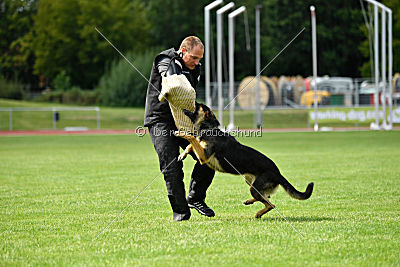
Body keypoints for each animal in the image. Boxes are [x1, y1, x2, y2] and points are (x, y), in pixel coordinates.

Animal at [173, 103, 314, 219]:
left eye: (198, 106)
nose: (194, 99)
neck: (209, 129)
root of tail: (278, 173)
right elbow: (191, 143)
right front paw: (183, 154)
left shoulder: (203, 156)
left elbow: (191, 137)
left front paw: (179, 133)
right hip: (249, 181)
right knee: (267, 198)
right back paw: (249, 202)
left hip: (254, 187)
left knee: (271, 204)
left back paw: (258, 213)